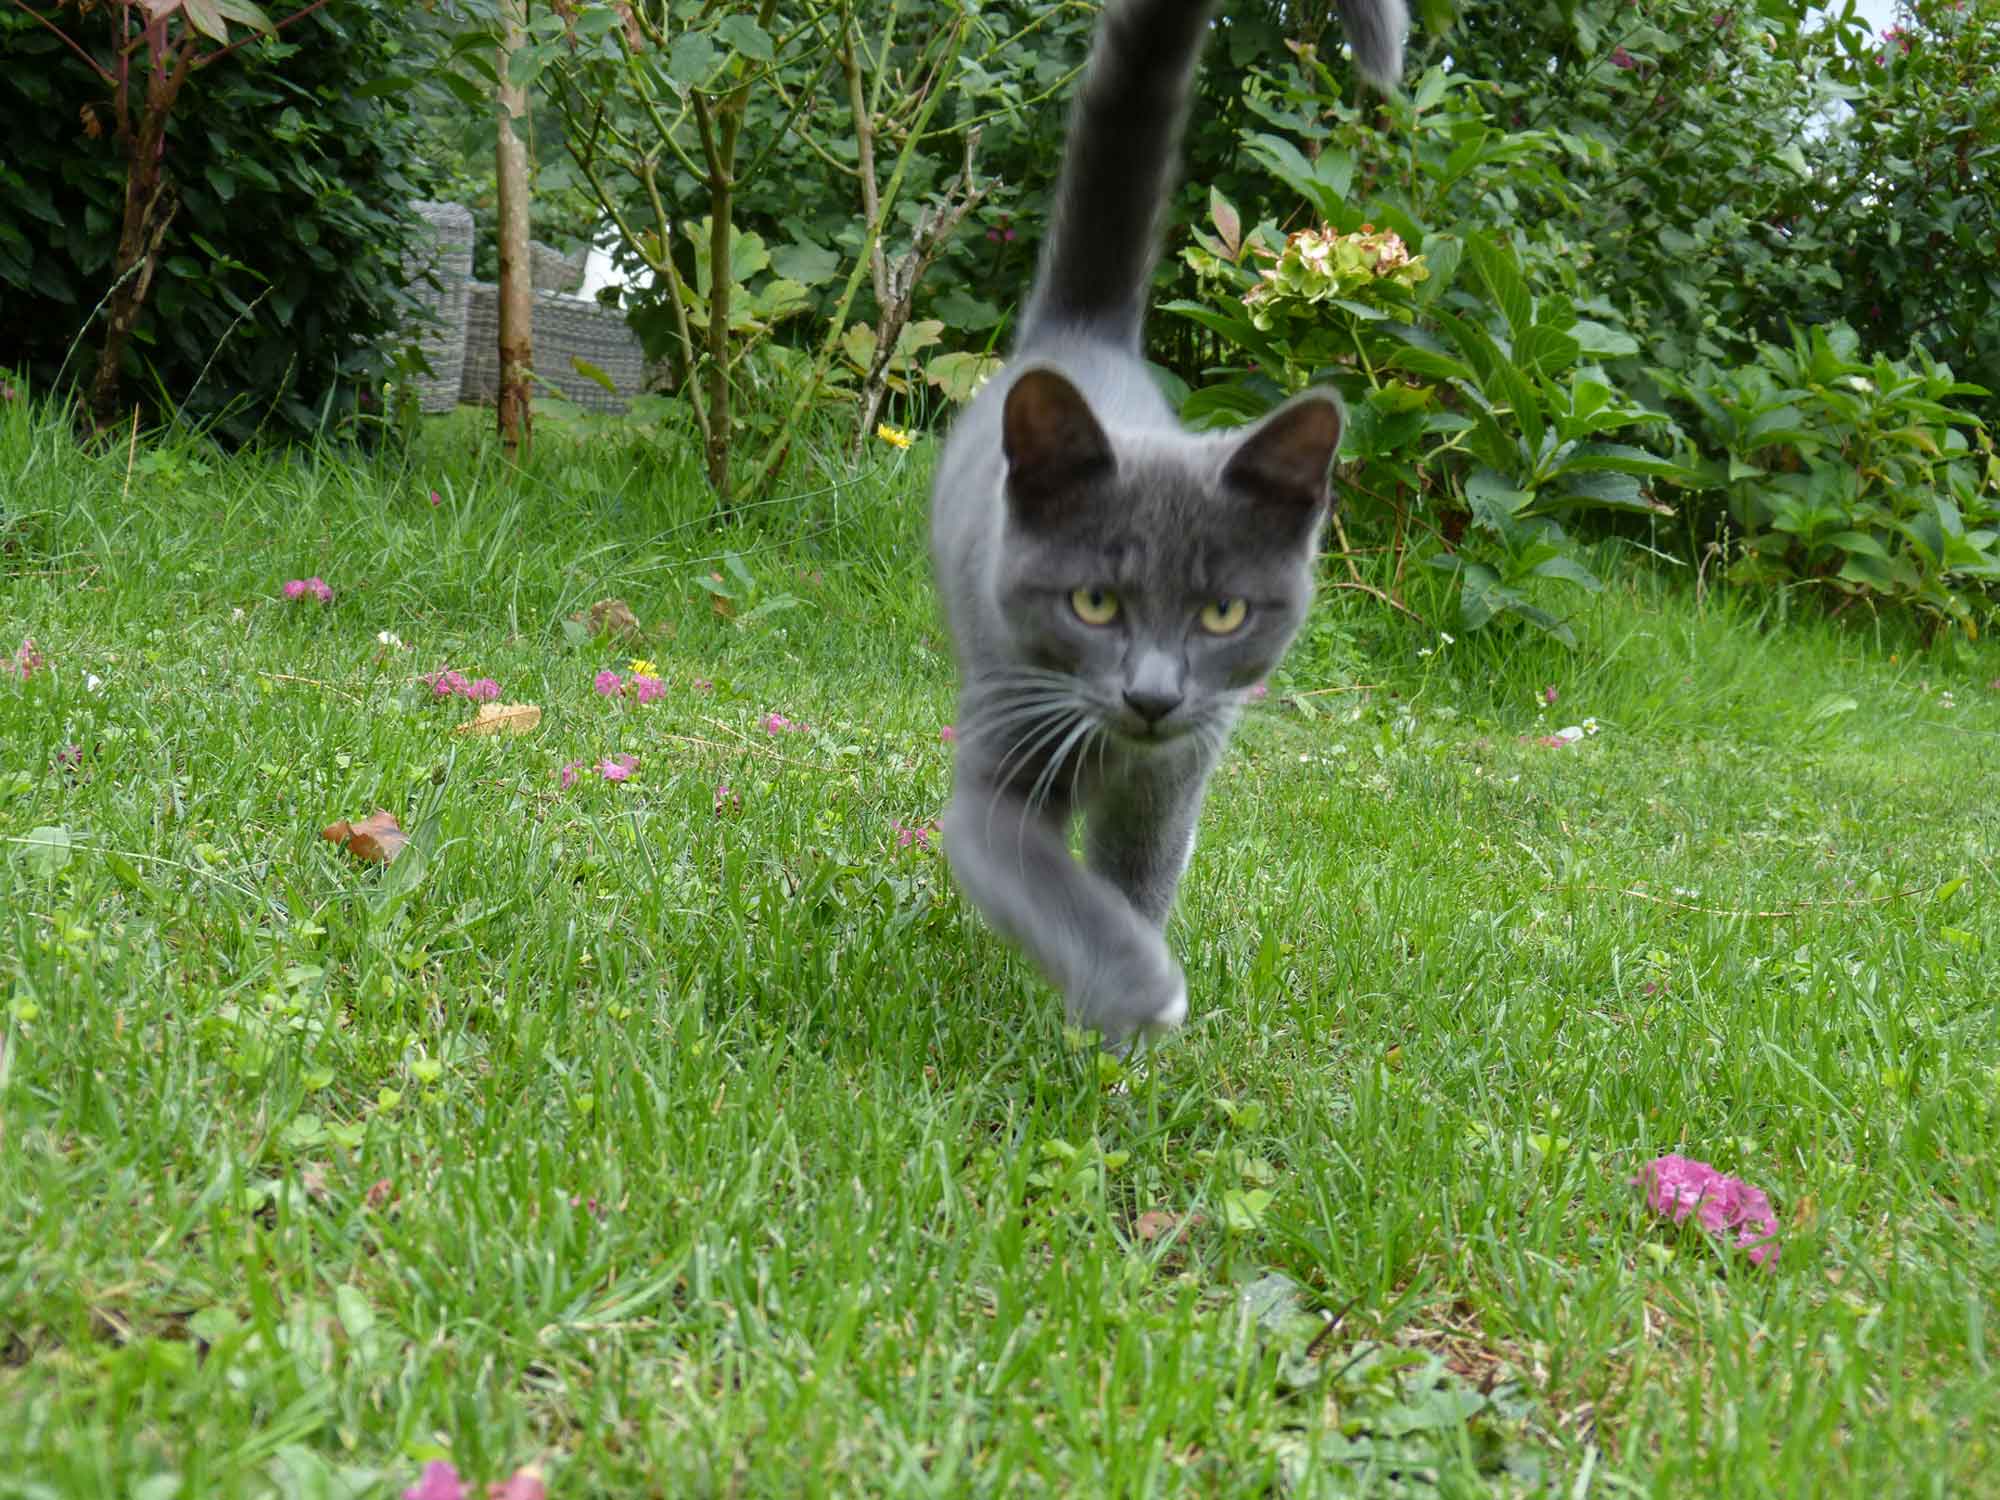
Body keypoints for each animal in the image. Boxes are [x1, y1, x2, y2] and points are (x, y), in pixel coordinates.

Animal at [924, 0, 1408, 1048]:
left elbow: (1134, 881)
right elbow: (1047, 882)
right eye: (1094, 602)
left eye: (1223, 613)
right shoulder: (1005, 747)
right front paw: (1134, 989)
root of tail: (1086, 336)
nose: (1151, 695)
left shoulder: (1174, 778)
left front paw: (1118, 1038)